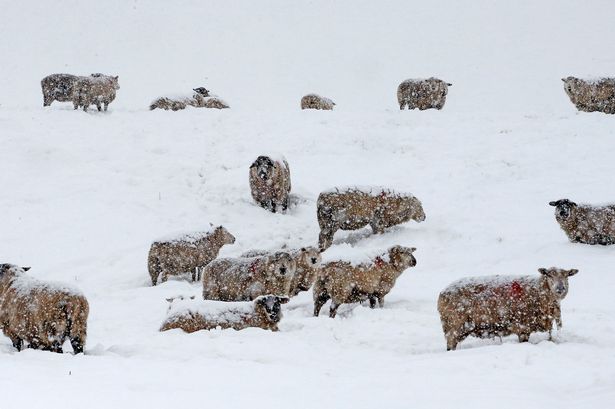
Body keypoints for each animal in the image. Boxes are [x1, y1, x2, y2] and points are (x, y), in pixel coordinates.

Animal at [438, 266, 576, 350]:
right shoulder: (523, 326)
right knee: (450, 345)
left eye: (567, 276)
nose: (560, 288)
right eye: (549, 275)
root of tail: (442, 294)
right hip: (454, 324)